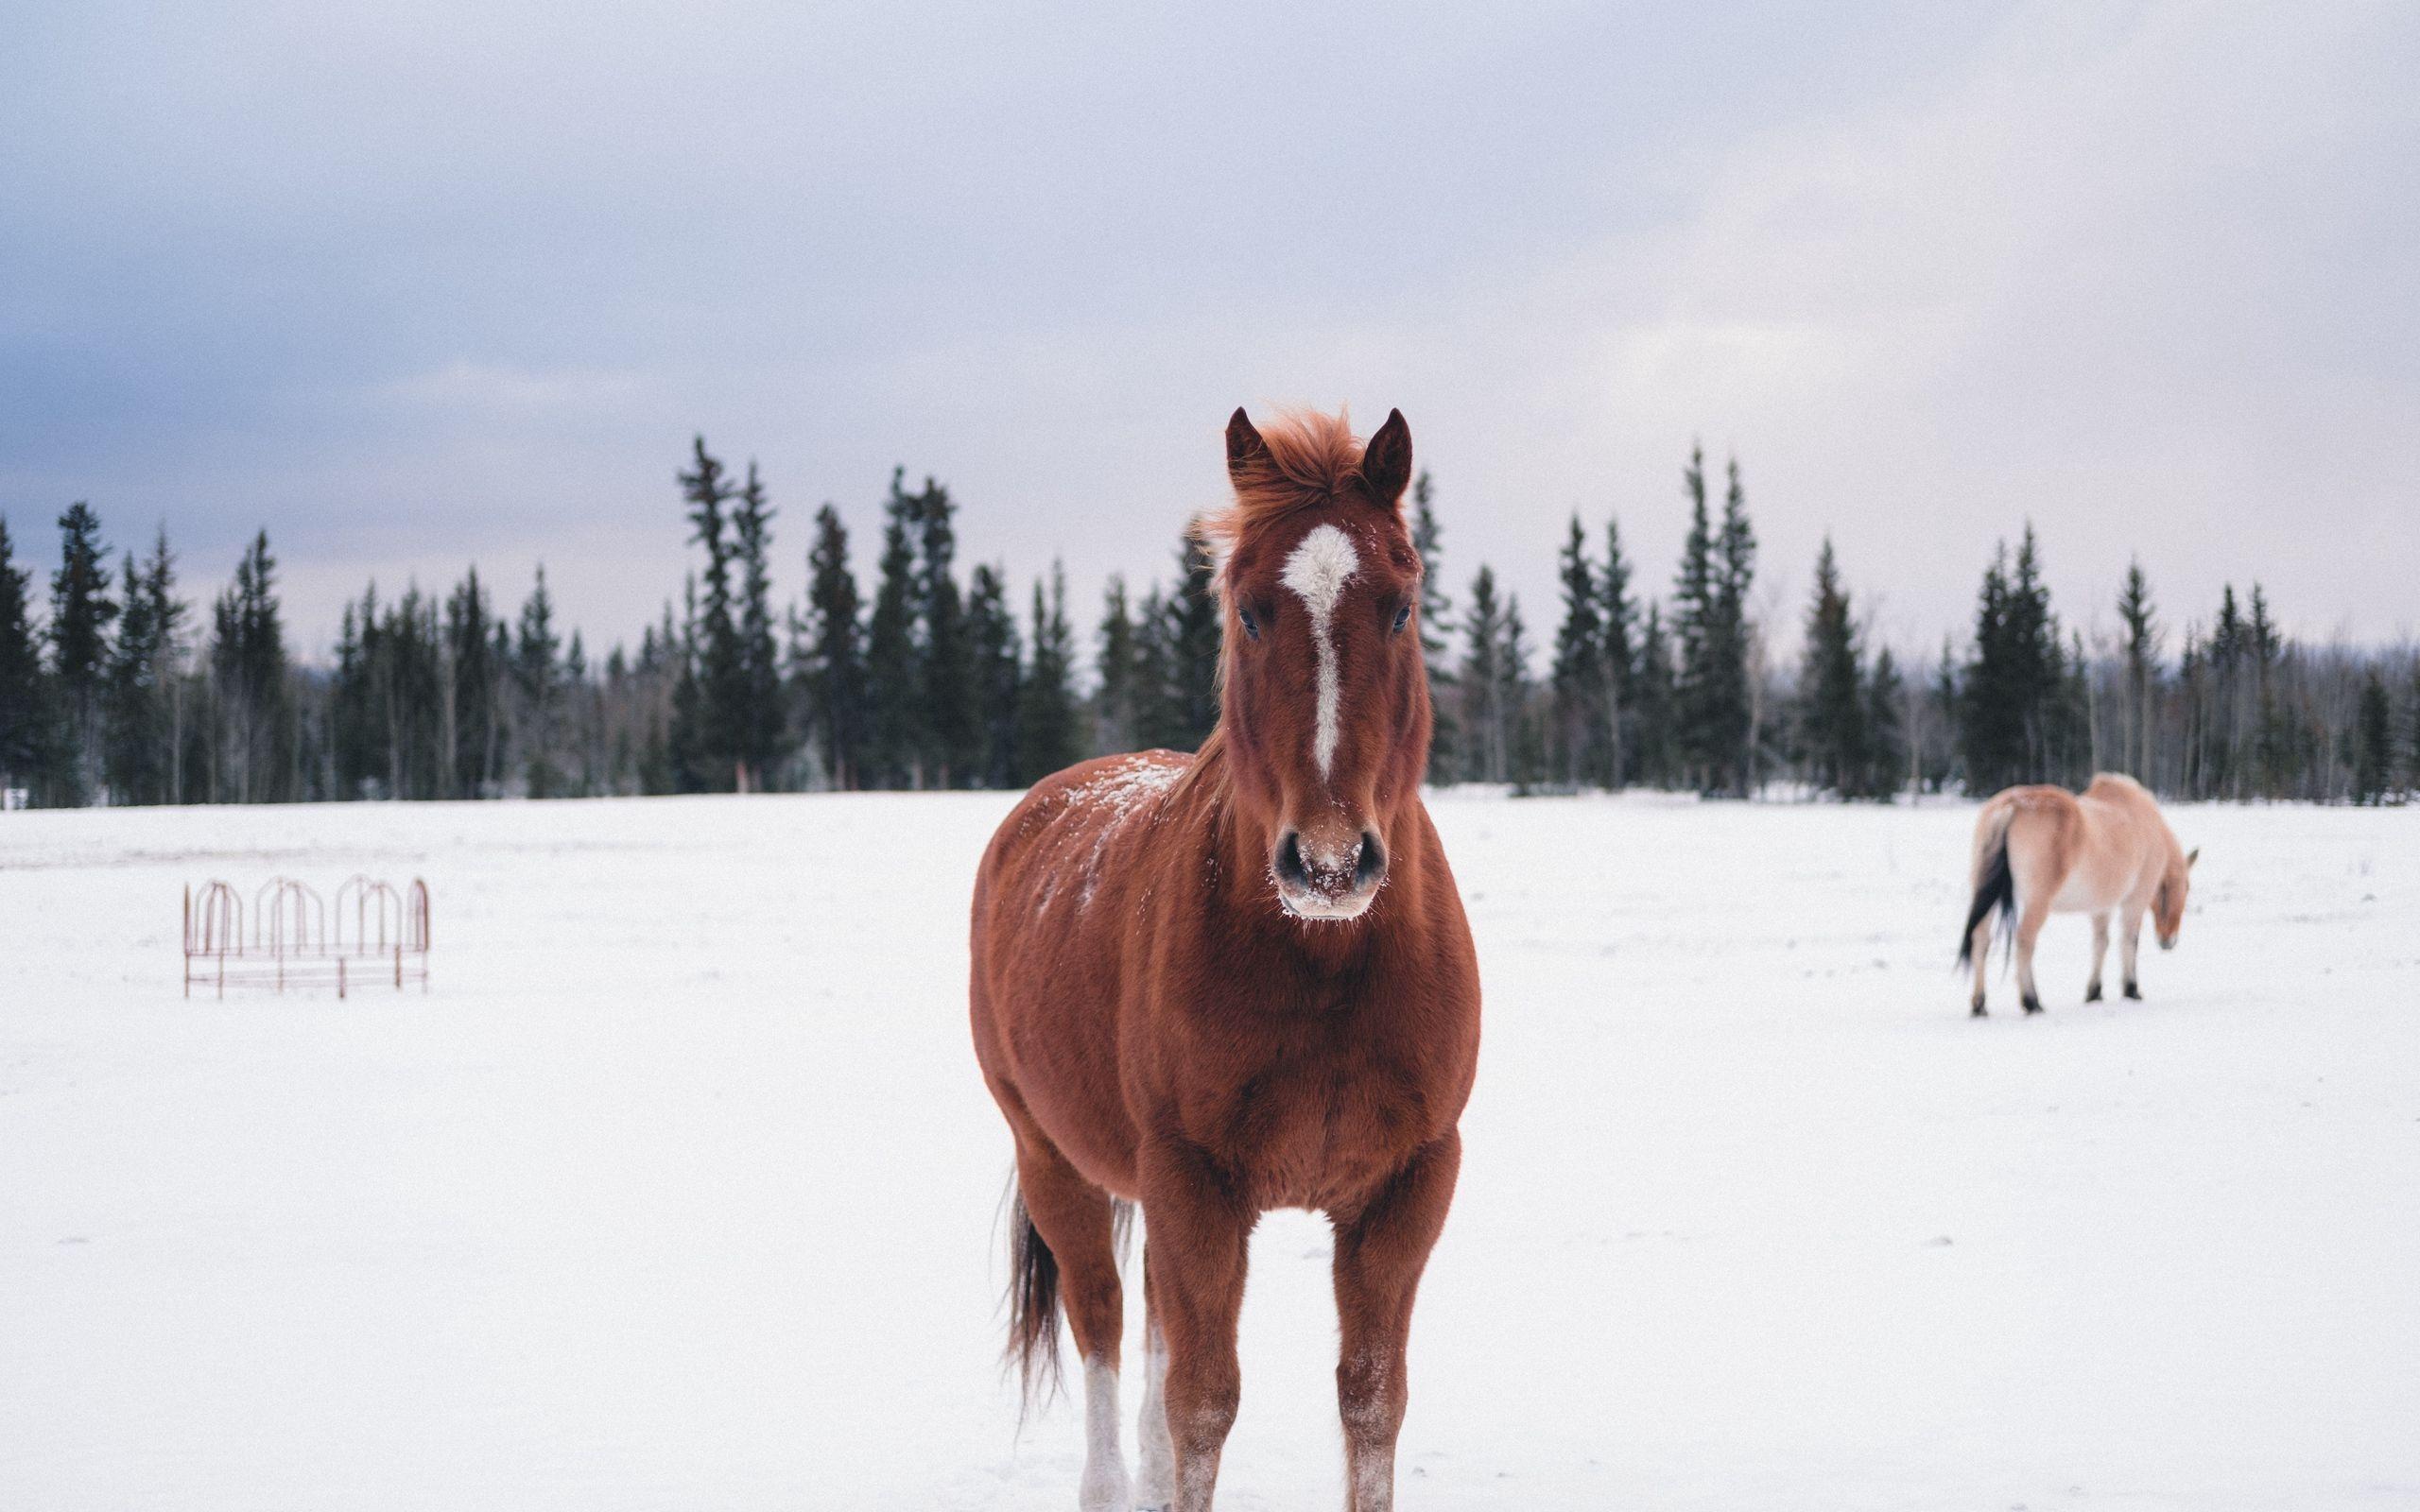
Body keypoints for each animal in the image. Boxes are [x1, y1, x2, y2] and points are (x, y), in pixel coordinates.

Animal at [968, 406, 1481, 1511]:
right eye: (1248, 610)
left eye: (1402, 605)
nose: (1328, 860)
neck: (1323, 963)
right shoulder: (1193, 1184)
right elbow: (1203, 1406)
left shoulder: (1407, 1186)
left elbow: (1370, 1403)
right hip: (1055, 1162)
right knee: (1108, 1330)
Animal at [1958, 772, 2197, 1016]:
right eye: (2185, 887)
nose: (2168, 941)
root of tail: (2012, 805)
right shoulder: (2135, 901)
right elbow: (2129, 941)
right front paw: (2131, 990)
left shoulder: (2101, 907)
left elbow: (2101, 943)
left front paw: (2095, 992)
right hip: (2038, 902)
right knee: (2024, 941)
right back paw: (2032, 1001)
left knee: (1980, 940)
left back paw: (1979, 1004)